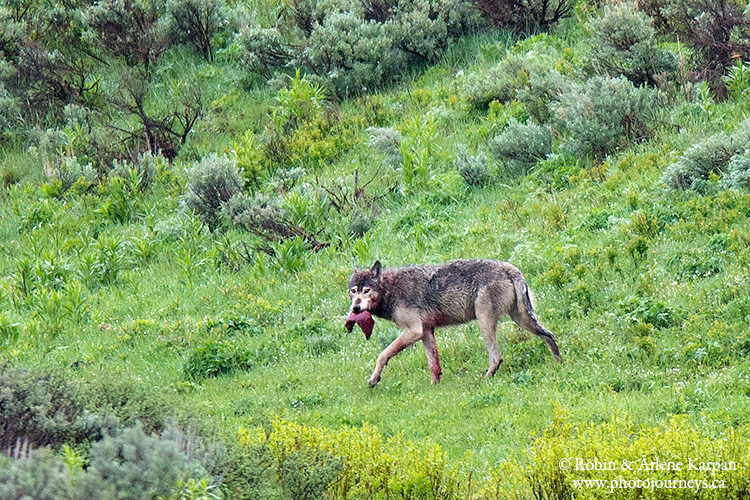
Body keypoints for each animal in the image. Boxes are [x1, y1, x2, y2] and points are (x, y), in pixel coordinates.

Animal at [350, 260, 560, 388]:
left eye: (366, 290)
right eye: (353, 291)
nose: (356, 308)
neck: (390, 290)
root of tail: (511, 269)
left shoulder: (414, 331)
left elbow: (382, 355)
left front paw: (374, 379)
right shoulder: (426, 331)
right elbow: (434, 365)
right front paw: (434, 387)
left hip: (485, 322)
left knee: (497, 358)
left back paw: (483, 379)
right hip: (522, 320)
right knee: (550, 336)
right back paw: (559, 364)